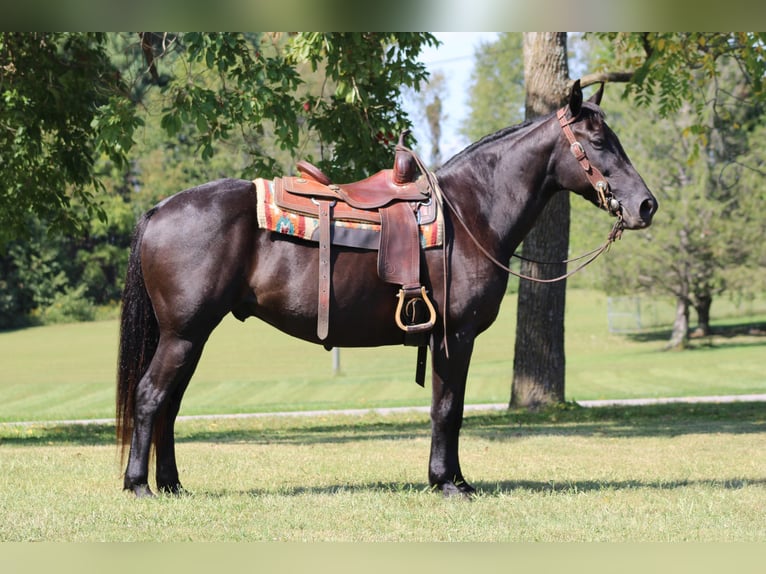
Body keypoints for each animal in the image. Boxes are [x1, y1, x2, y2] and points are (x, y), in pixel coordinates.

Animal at [117, 81, 656, 500]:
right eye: (598, 141)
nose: (646, 206)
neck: (472, 211)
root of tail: (160, 209)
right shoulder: (455, 336)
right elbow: (447, 408)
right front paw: (446, 483)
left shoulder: (447, 339)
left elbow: (452, 408)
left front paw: (456, 479)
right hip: (184, 335)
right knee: (150, 396)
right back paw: (140, 485)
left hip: (190, 336)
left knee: (170, 405)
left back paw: (173, 485)